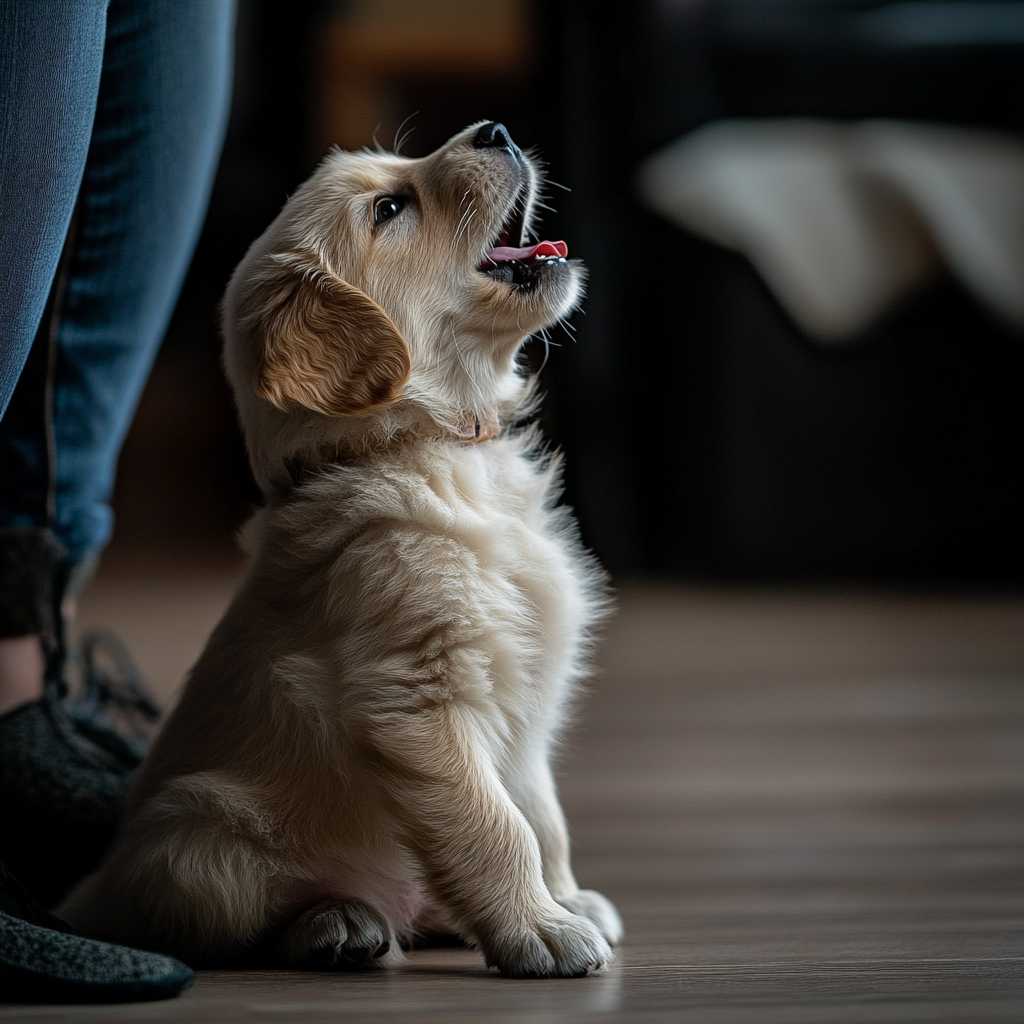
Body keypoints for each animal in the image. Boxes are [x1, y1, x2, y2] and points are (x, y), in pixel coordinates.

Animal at [66, 121, 622, 974]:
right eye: (390, 208)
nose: (496, 130)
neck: (427, 442)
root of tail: (93, 899)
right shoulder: (414, 698)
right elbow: (498, 826)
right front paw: (541, 930)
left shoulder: (527, 707)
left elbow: (542, 814)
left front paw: (566, 899)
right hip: (197, 843)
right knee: (234, 924)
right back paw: (338, 923)